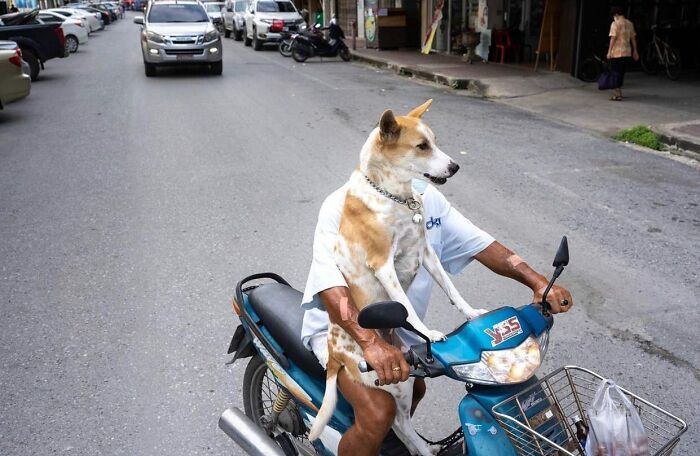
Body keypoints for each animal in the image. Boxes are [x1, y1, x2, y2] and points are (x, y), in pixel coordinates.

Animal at [308, 98, 484, 454]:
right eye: (422, 146)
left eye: (435, 141)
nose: (455, 167)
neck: (394, 196)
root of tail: (334, 354)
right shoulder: (383, 265)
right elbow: (406, 307)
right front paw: (428, 331)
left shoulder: (426, 253)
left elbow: (452, 290)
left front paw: (471, 313)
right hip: (381, 380)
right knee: (394, 421)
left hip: (404, 382)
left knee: (402, 423)